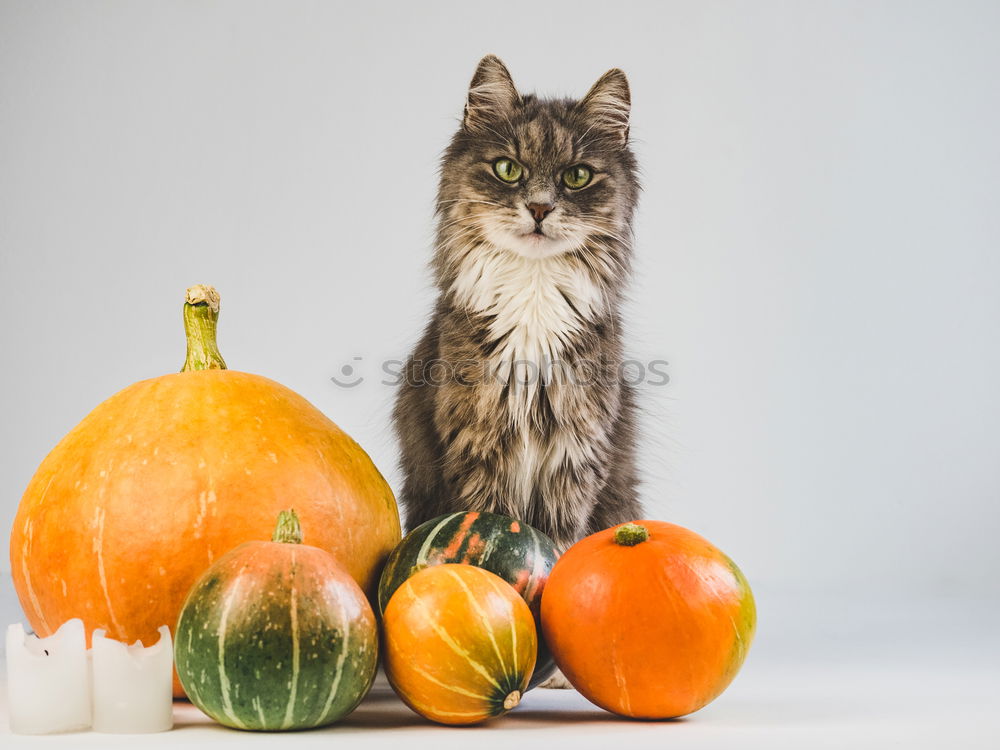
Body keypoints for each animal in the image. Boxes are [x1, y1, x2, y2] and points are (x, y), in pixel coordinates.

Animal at [394, 55, 644, 548]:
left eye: (577, 176)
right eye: (508, 169)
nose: (540, 208)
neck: (534, 292)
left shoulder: (576, 452)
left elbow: (561, 540)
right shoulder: (477, 445)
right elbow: (490, 516)